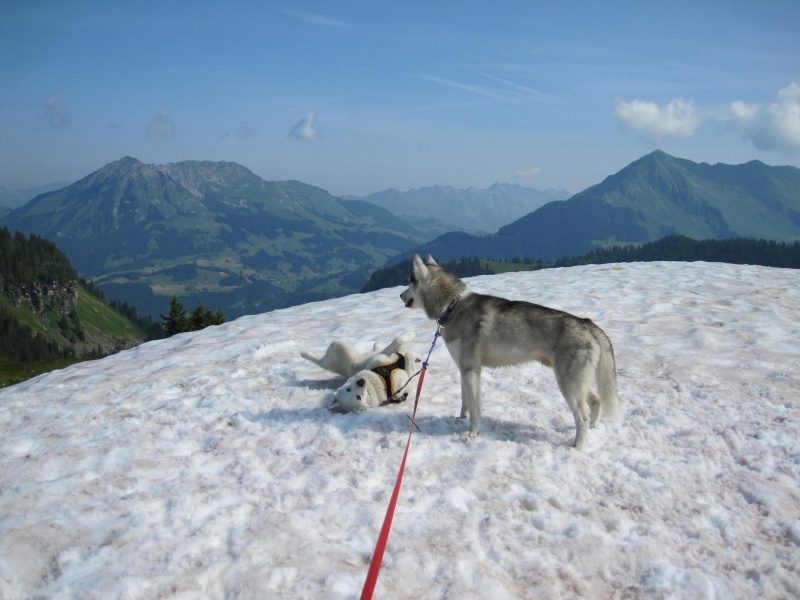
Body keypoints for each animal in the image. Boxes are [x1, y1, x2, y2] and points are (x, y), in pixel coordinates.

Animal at [400, 254, 620, 450]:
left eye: (410, 281)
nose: (400, 295)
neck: (452, 306)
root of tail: (587, 323)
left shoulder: (471, 370)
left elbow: (475, 407)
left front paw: (472, 433)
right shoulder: (463, 369)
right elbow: (465, 401)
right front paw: (460, 419)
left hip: (568, 384)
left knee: (582, 417)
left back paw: (577, 447)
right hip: (577, 381)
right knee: (596, 402)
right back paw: (594, 429)